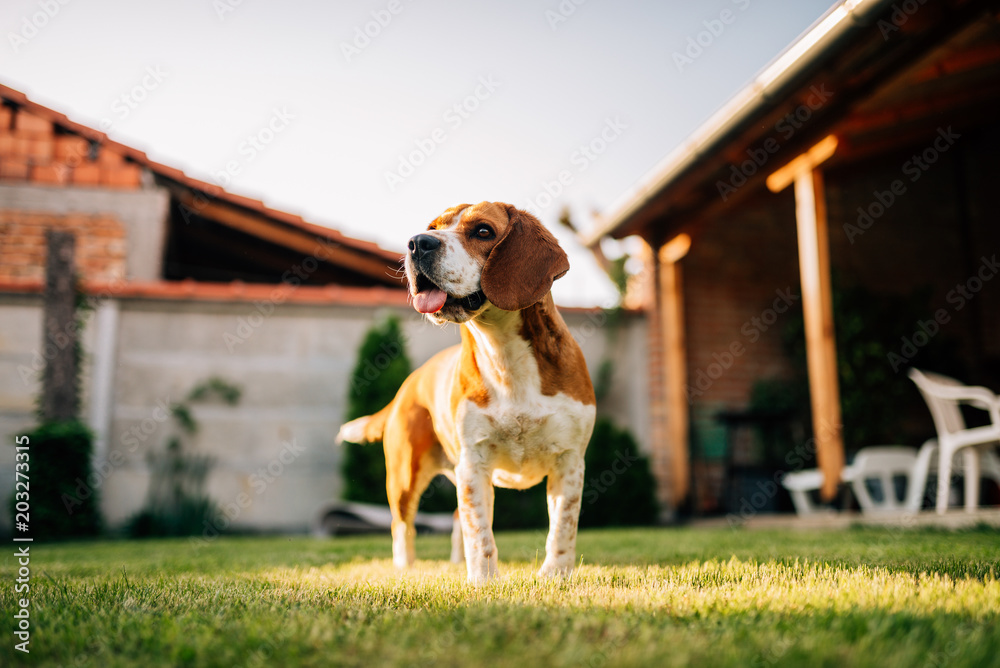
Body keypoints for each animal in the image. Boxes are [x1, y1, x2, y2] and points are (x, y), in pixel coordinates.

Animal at [340, 201, 596, 580]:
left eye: (483, 231)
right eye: (433, 227)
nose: (417, 242)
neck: (503, 353)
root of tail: (409, 382)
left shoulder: (570, 461)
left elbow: (562, 528)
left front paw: (556, 576)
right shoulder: (474, 462)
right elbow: (480, 533)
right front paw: (484, 581)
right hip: (406, 476)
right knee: (403, 526)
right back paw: (406, 569)